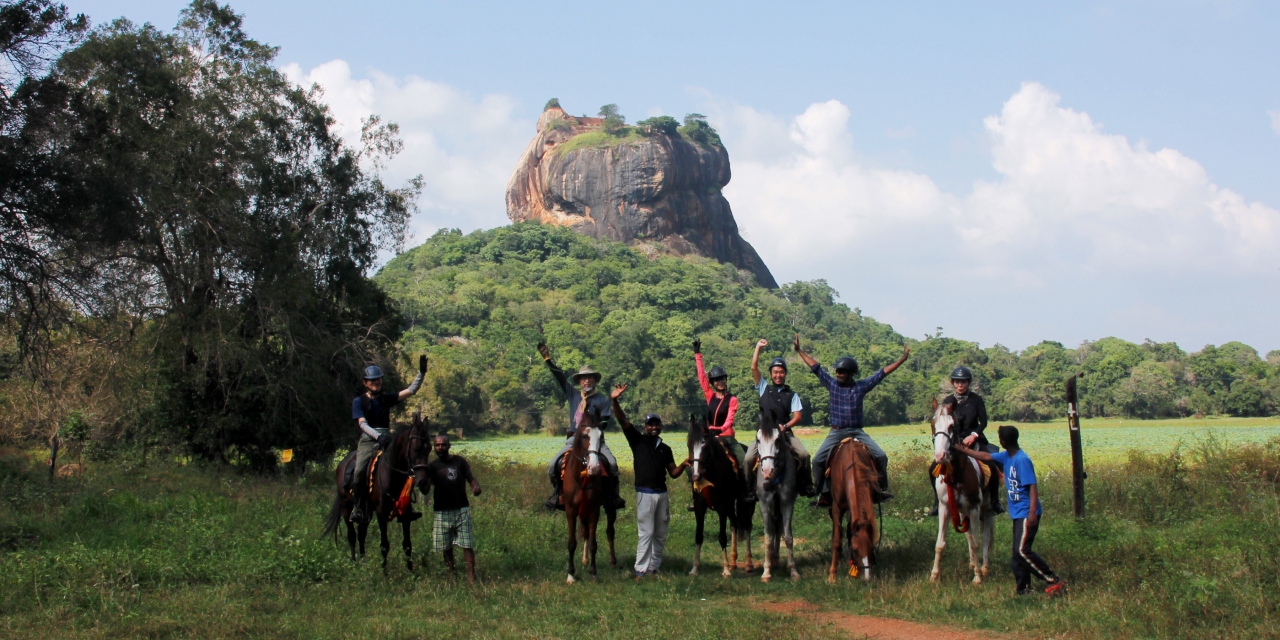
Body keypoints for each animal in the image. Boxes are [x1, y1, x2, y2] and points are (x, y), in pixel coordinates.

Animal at [322, 414, 432, 570]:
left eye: (429, 449)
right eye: (416, 448)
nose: (424, 482)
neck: (391, 474)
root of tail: (343, 462)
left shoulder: (405, 515)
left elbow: (407, 545)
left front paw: (411, 571)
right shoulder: (381, 514)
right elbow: (384, 545)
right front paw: (385, 573)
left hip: (366, 510)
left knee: (361, 533)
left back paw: (363, 563)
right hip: (346, 507)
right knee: (352, 535)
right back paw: (354, 563)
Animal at [563, 412, 616, 583]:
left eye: (601, 436)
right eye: (584, 436)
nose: (594, 468)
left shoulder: (594, 510)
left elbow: (593, 542)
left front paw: (593, 572)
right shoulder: (571, 510)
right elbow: (572, 543)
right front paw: (571, 575)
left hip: (610, 507)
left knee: (610, 532)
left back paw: (613, 561)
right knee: (585, 533)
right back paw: (584, 560)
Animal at [829, 437, 880, 583]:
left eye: (871, 547)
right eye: (856, 549)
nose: (867, 578)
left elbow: (849, 533)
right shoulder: (837, 508)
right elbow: (837, 540)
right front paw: (832, 575)